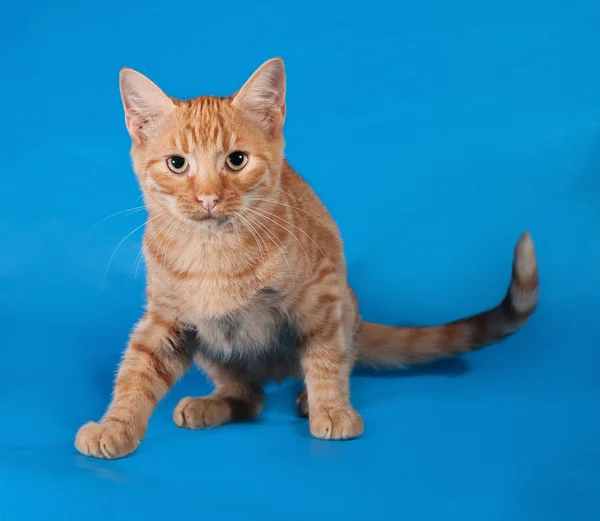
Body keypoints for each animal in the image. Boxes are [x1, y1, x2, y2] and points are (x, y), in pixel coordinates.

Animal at [74, 58, 540, 460]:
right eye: (176, 164)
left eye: (236, 160)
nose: (208, 198)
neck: (215, 253)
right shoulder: (168, 318)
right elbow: (137, 369)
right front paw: (115, 426)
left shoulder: (321, 295)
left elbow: (325, 356)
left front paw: (331, 409)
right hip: (215, 348)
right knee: (251, 397)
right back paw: (215, 403)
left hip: (344, 308)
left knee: (336, 360)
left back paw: (305, 398)